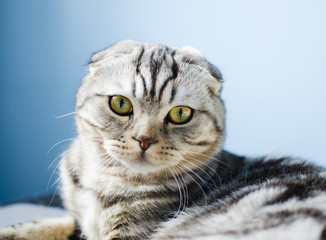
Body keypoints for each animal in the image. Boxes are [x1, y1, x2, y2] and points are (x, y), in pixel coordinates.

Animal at [0, 40, 326, 239]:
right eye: (120, 104)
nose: (143, 139)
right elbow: (44, 225)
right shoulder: (79, 220)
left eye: (180, 113)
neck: (103, 182)